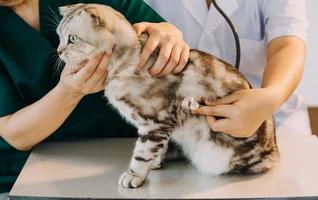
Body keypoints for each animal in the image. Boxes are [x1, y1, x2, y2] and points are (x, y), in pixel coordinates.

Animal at [56, 3, 278, 188]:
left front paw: (134, 175)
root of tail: (275, 151)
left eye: (72, 39)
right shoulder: (159, 126)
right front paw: (155, 161)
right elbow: (156, 148)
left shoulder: (155, 121)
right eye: (59, 36)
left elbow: (142, 152)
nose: (58, 51)